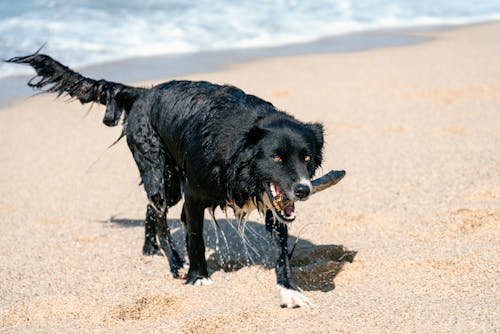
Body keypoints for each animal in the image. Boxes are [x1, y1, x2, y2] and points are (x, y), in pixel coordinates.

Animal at [8, 52, 344, 308]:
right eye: (276, 158)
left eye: (307, 158)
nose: (302, 190)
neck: (239, 149)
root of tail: (142, 92)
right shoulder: (195, 196)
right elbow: (194, 237)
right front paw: (197, 276)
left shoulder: (274, 204)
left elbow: (281, 250)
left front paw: (290, 291)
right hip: (158, 168)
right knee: (158, 213)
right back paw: (173, 261)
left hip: (169, 184)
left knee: (150, 208)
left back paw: (150, 249)